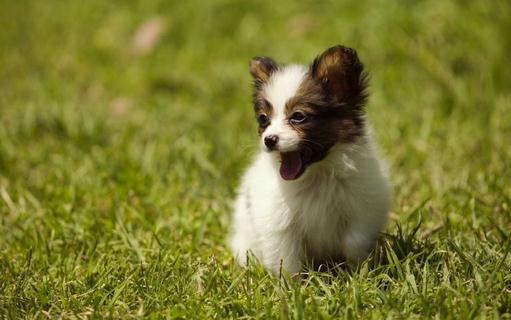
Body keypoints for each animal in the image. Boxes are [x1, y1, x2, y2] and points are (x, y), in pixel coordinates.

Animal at [229, 45, 392, 276]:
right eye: (263, 119)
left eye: (298, 116)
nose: (269, 140)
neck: (316, 175)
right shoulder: (279, 226)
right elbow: (287, 261)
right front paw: (291, 284)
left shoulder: (361, 212)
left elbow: (354, 243)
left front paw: (357, 274)